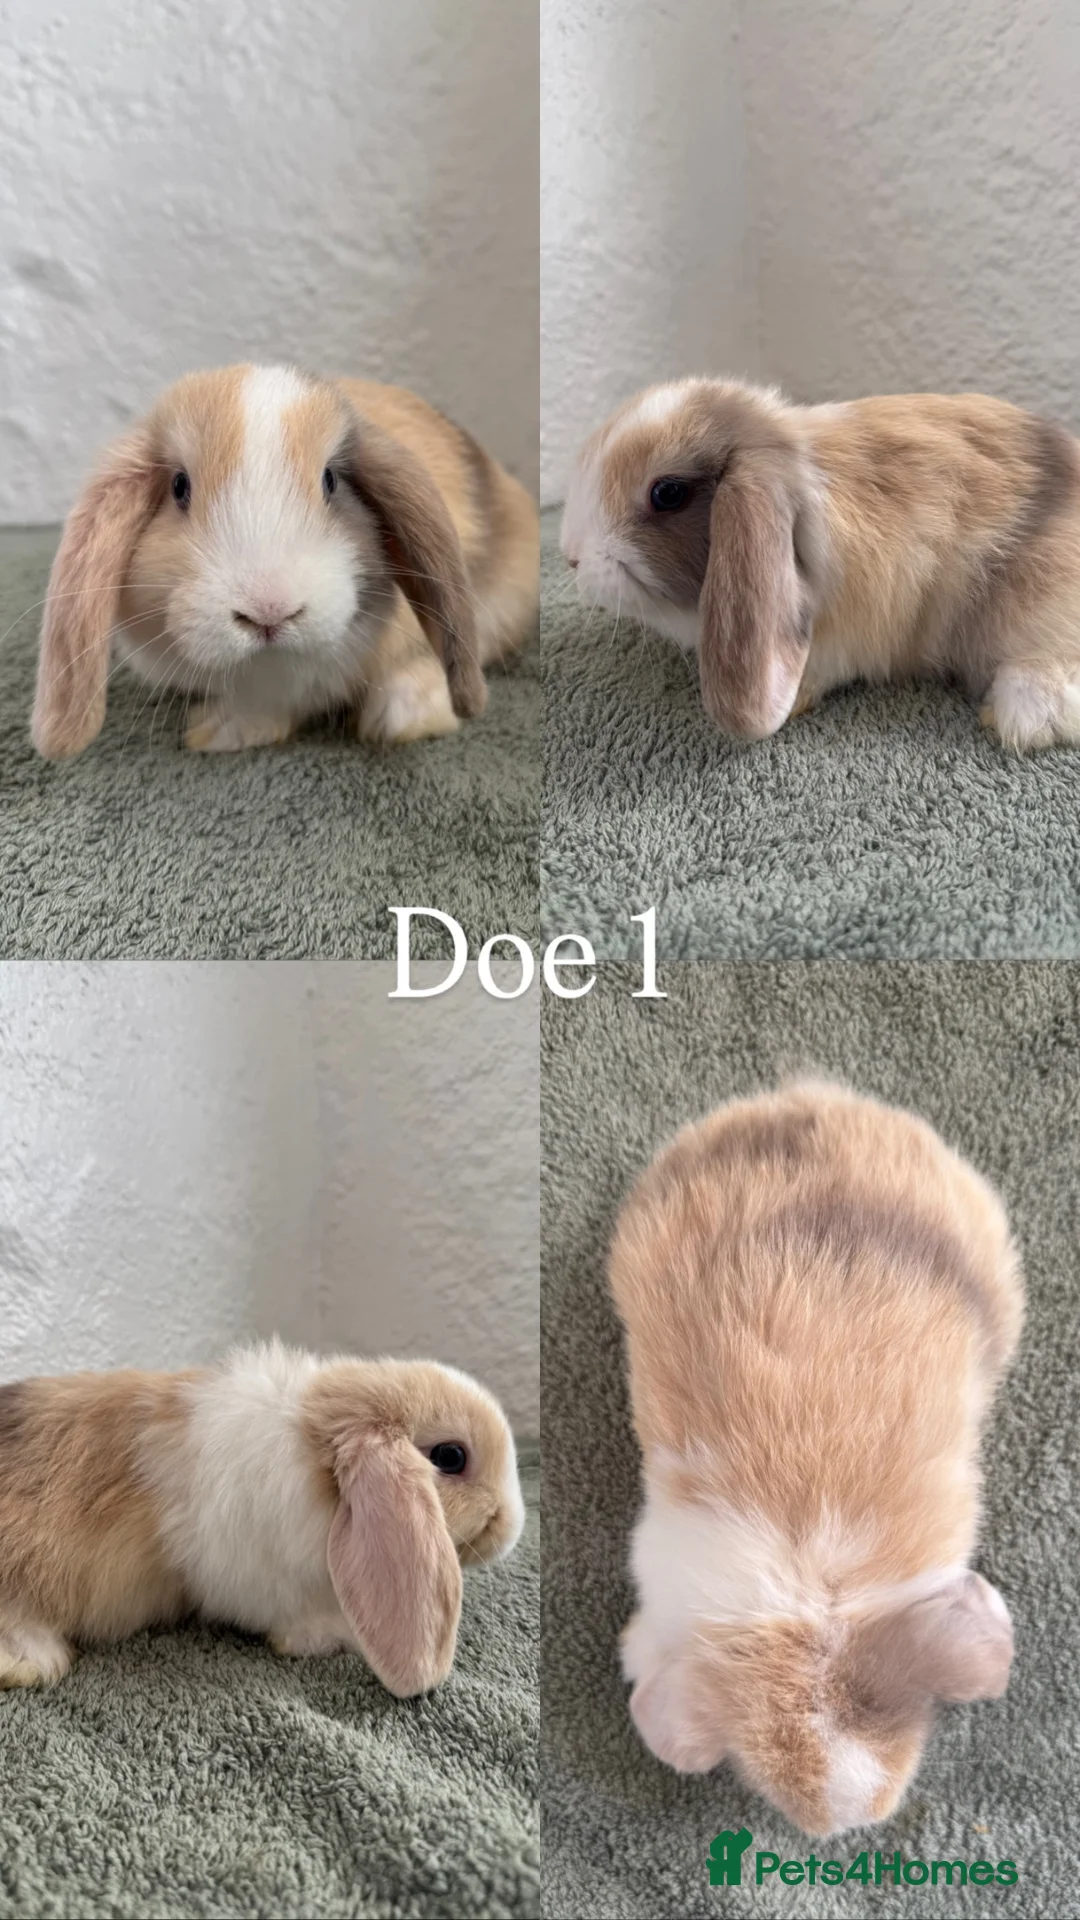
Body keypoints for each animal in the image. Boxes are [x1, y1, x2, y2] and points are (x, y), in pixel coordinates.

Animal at [0, 1339, 524, 1696]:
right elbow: (299, 1631)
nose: (514, 1526)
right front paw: (341, 1636)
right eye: (451, 1456)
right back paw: (31, 1663)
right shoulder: (269, 1590)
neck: (316, 1458)